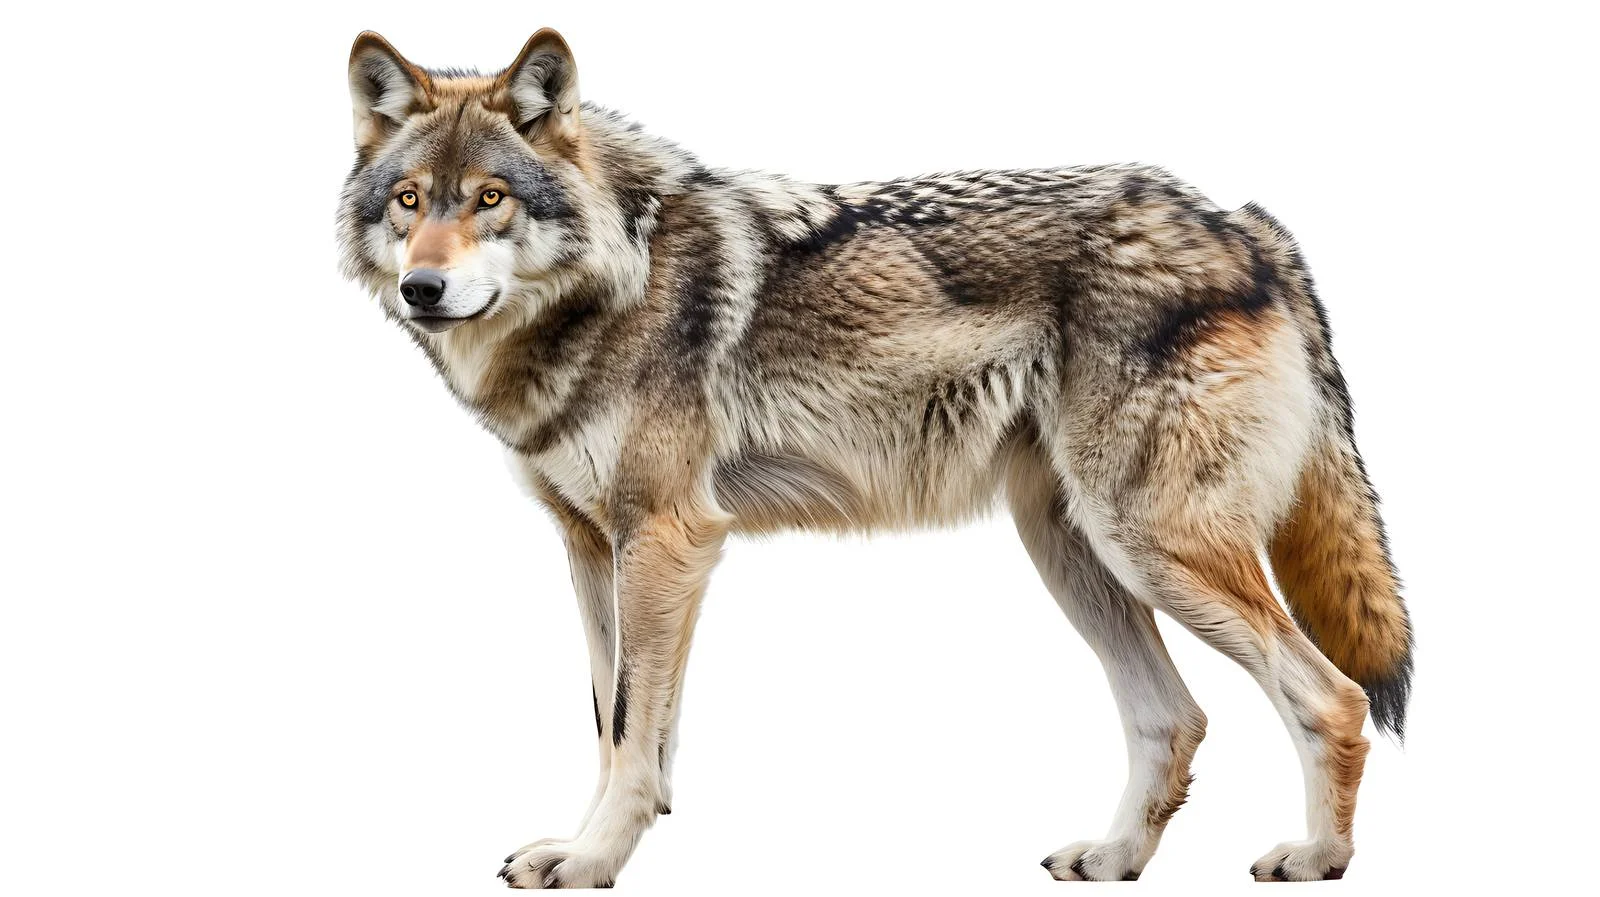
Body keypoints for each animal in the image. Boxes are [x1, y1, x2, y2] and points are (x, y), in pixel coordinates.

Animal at [337, 29, 1412, 887]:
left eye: (490, 198)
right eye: (409, 201)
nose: (425, 287)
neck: (613, 281)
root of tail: (1243, 223)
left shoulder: (667, 539)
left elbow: (635, 732)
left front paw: (593, 859)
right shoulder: (590, 544)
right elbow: (610, 720)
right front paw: (585, 841)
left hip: (1149, 546)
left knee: (1335, 695)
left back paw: (1316, 857)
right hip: (1074, 551)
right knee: (1175, 718)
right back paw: (1114, 858)